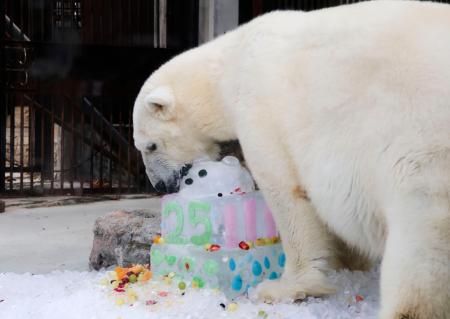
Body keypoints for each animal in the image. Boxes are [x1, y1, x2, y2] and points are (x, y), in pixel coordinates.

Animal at [133, 1, 450, 318]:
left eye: (150, 146)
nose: (160, 185)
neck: (227, 69)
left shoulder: (260, 108)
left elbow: (286, 192)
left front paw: (284, 287)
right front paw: (351, 263)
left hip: (419, 141)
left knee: (420, 240)